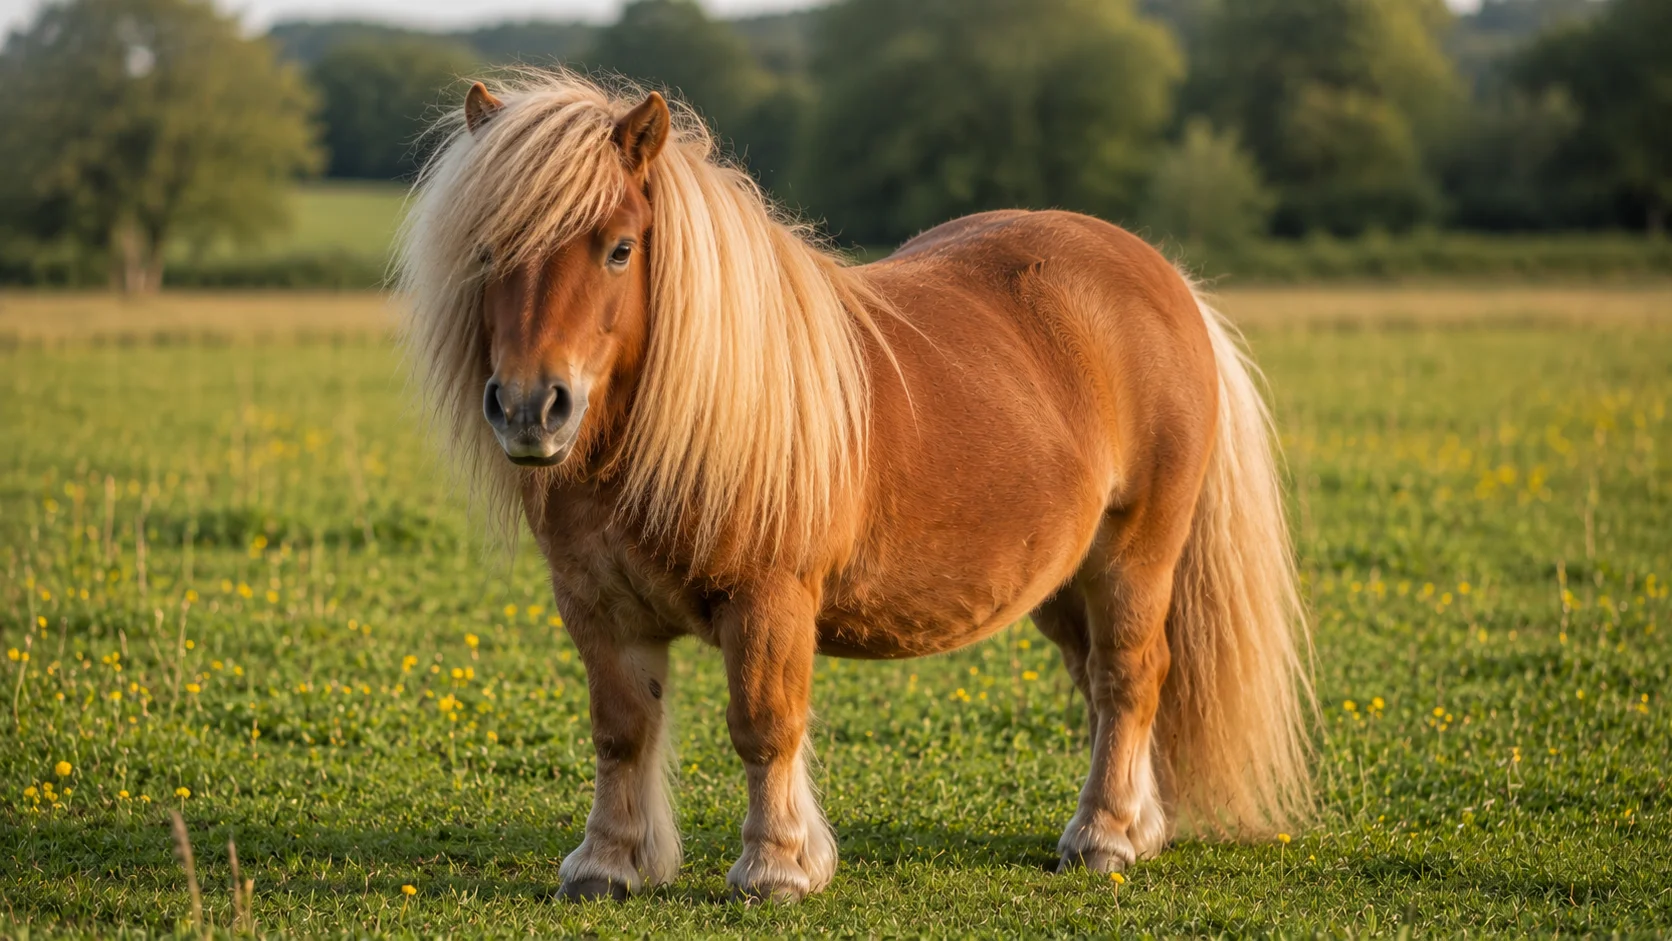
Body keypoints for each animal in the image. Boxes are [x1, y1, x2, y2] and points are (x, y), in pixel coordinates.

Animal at [396, 71, 1312, 903]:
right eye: (486, 253)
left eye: (619, 247)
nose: (529, 407)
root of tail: (1166, 280)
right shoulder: (598, 606)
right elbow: (622, 730)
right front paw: (608, 864)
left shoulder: (767, 600)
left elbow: (765, 727)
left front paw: (776, 866)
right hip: (1062, 579)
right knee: (1100, 682)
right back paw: (1136, 825)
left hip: (1135, 553)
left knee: (1130, 676)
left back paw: (1104, 838)